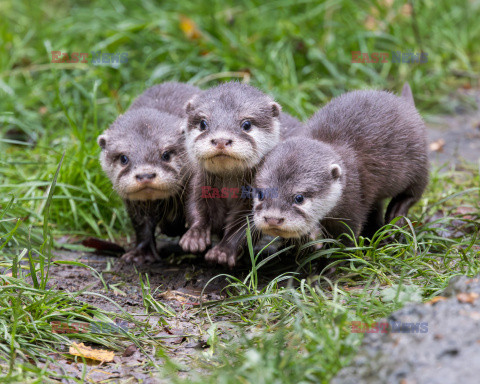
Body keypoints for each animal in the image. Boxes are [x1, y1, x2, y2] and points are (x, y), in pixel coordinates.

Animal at [178, 81, 302, 268]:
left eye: (247, 124)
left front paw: (223, 252)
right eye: (203, 123)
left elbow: (244, 229)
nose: (221, 140)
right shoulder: (199, 184)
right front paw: (194, 237)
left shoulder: (253, 201)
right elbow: (195, 207)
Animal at [253, 85, 430, 244]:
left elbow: (345, 239)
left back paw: (395, 217)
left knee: (414, 193)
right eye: (260, 194)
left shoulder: (351, 203)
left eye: (299, 198)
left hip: (419, 162)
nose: (273, 219)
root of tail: (404, 103)